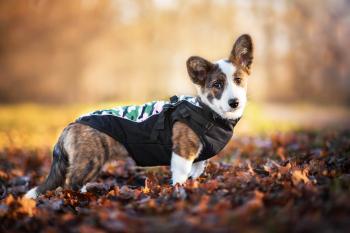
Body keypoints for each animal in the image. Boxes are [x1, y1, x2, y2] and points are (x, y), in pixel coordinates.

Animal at [25, 34, 254, 198]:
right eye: (217, 84)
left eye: (238, 80)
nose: (234, 102)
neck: (209, 112)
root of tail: (70, 125)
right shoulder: (182, 154)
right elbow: (180, 177)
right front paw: (180, 191)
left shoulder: (199, 160)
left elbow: (195, 173)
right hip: (90, 160)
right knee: (70, 182)